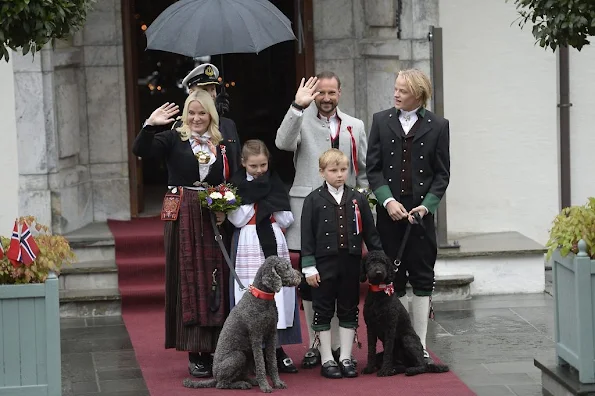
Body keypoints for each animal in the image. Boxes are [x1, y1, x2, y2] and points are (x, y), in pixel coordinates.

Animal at [182, 256, 302, 392]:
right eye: (286, 267)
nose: (300, 275)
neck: (261, 298)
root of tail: (215, 376)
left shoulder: (272, 335)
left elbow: (272, 363)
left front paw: (277, 382)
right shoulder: (256, 337)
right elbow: (261, 365)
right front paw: (265, 386)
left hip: (247, 354)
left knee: (241, 375)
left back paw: (250, 381)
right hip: (238, 356)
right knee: (222, 384)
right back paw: (241, 384)